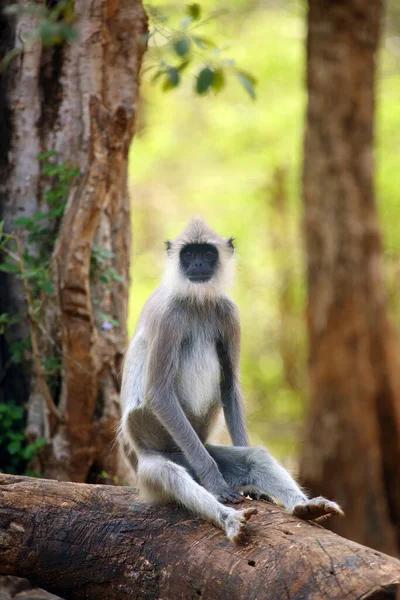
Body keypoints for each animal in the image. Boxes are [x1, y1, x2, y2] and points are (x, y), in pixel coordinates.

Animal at [118, 218, 340, 540]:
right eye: (189, 254)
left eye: (207, 253)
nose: (198, 263)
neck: (197, 301)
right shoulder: (168, 317)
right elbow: (158, 392)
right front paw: (214, 482)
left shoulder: (229, 311)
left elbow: (230, 385)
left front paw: (258, 491)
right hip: (154, 462)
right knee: (170, 474)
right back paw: (228, 518)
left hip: (198, 446)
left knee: (255, 456)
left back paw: (304, 507)